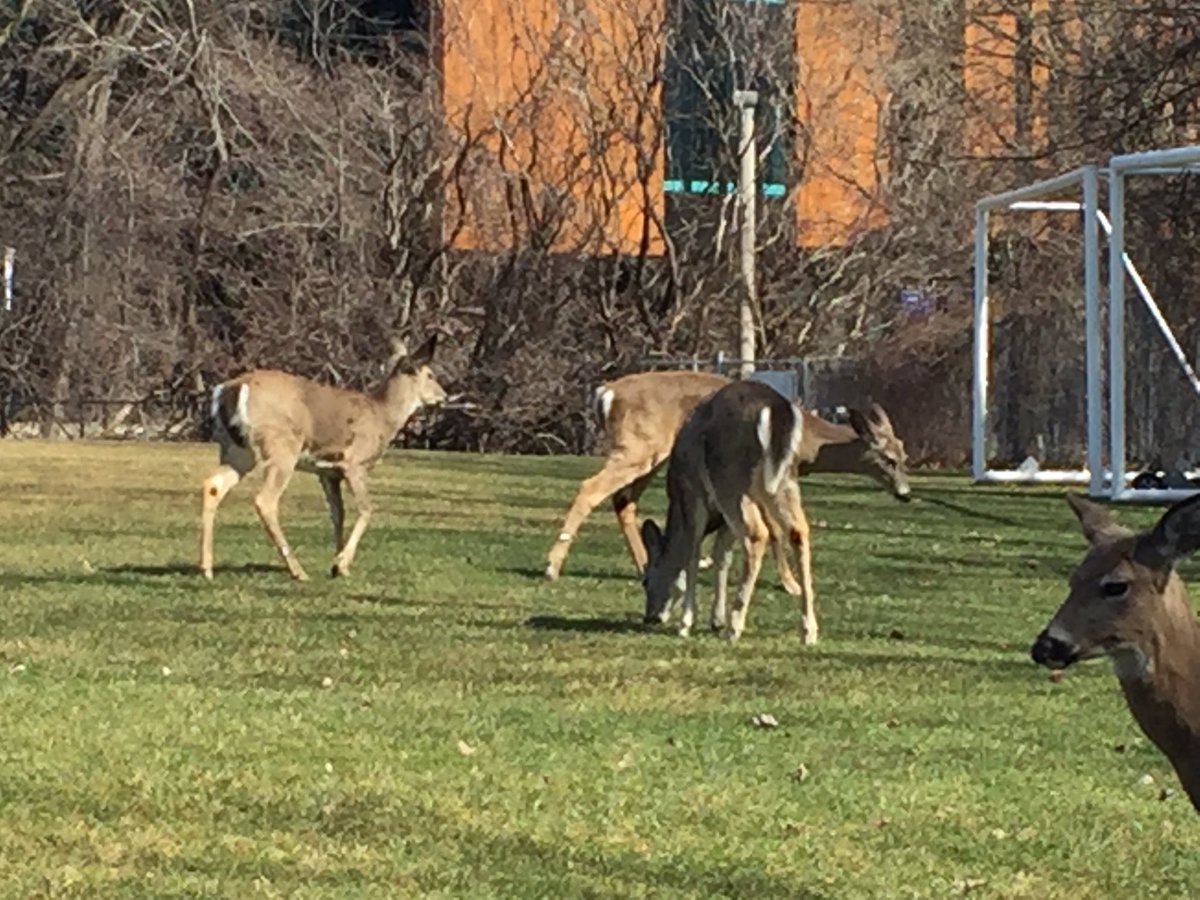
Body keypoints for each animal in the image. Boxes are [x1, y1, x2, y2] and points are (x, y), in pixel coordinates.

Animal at [199, 334, 447, 582]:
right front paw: (342, 562)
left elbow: (338, 513)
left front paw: (338, 567)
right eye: (430, 375)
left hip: (235, 449)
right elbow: (366, 509)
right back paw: (298, 571)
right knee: (265, 500)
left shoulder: (328, 472)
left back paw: (207, 568)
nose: (443, 396)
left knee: (214, 485)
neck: (382, 417)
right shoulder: (354, 463)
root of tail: (232, 388)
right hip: (281, 447)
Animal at [543, 369, 911, 581]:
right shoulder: (763, 475)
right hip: (637, 446)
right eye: (889, 458)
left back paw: (645, 566)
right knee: (591, 488)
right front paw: (788, 583)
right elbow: (774, 528)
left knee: (623, 500)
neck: (805, 440)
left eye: (905, 454)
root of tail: (605, 394)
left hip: (650, 454)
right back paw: (552, 567)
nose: (905, 493)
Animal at [638, 379, 818, 643]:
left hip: (730, 477)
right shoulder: (723, 520)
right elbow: (722, 555)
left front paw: (687, 623)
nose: (650, 616)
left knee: (756, 534)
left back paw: (734, 627)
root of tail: (776, 407)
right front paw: (716, 619)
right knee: (798, 530)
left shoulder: (692, 493)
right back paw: (809, 630)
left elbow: (693, 553)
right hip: (783, 479)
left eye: (646, 580)